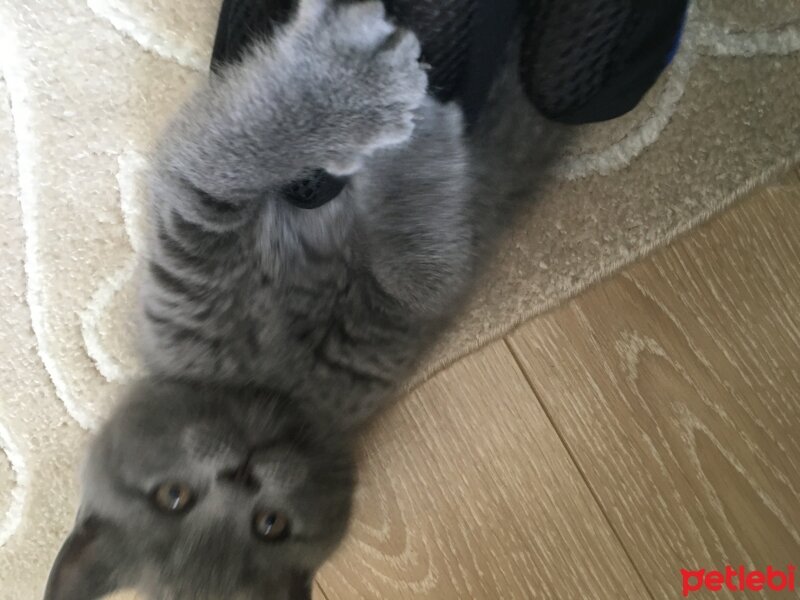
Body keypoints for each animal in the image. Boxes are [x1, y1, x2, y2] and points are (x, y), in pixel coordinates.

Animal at [43, 1, 556, 600]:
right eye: (174, 496)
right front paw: (378, 96)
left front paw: (370, 92)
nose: (241, 475)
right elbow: (220, 172)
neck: (271, 379)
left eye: (271, 525)